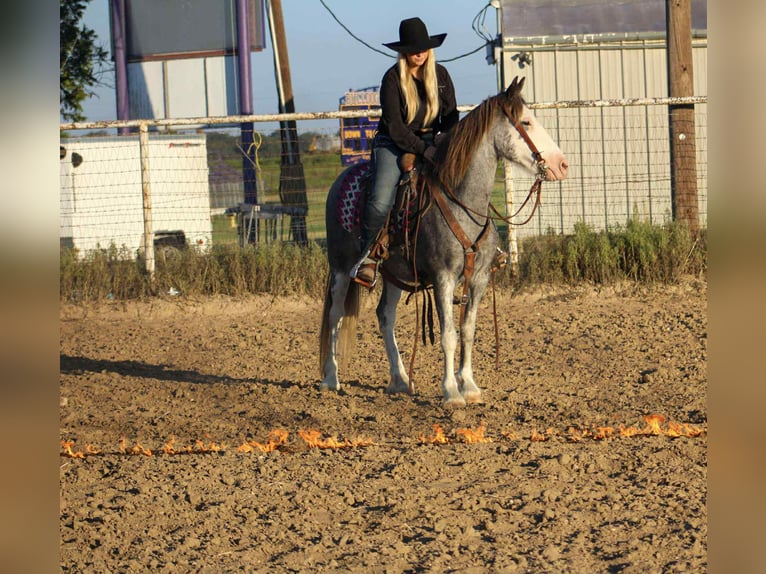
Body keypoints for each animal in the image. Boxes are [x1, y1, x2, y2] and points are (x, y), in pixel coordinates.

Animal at [319, 77, 569, 406]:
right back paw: (331, 378)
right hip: (340, 268)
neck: (462, 200)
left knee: (385, 315)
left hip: (394, 273)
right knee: (335, 314)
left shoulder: (479, 278)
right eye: (526, 121)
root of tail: (341, 179)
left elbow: (468, 330)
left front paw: (470, 386)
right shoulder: (443, 278)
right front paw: (451, 392)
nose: (562, 164)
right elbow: (449, 334)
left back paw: (400, 379)